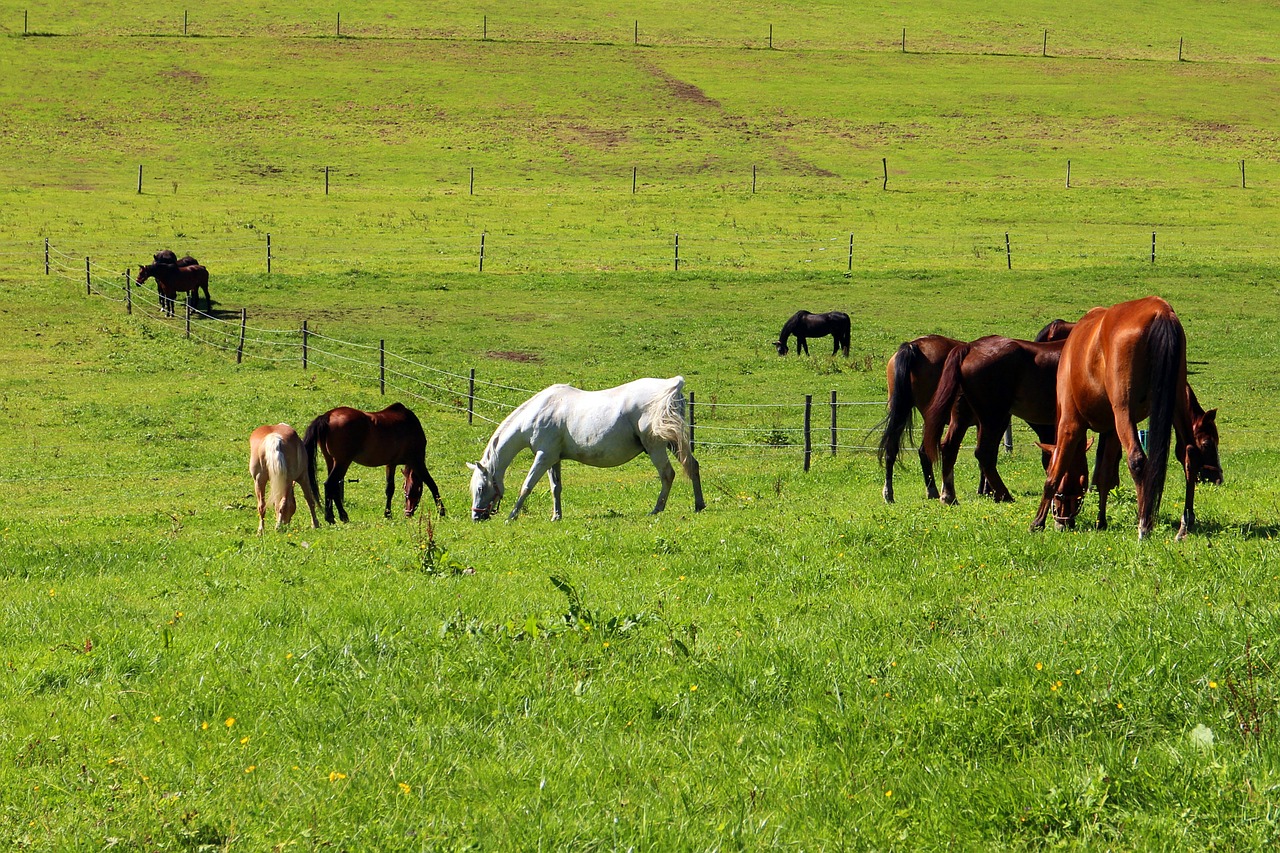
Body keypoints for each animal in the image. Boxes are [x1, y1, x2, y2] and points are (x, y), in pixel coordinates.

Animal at [302, 402, 448, 522]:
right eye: (410, 490)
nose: (408, 513)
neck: (410, 425)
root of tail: (328, 415)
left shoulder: (391, 464)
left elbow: (390, 489)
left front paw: (388, 514)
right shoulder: (417, 462)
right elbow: (432, 485)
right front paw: (441, 512)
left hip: (331, 461)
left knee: (334, 487)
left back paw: (339, 516)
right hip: (342, 462)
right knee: (330, 484)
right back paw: (332, 517)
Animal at [471, 376, 711, 522]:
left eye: (481, 488)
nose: (476, 517)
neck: (540, 410)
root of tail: (672, 386)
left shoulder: (543, 457)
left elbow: (526, 486)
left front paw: (511, 516)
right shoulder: (553, 459)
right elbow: (555, 488)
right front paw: (556, 516)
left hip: (656, 447)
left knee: (667, 474)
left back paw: (657, 509)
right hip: (673, 444)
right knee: (692, 466)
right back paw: (699, 505)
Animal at [921, 333, 1070, 504]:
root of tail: (970, 347)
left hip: (964, 416)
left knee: (950, 448)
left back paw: (949, 496)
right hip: (994, 417)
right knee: (984, 453)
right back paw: (1004, 495)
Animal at [1034, 295, 1203, 537]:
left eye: (1046, 466)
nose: (1063, 521)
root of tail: (1160, 310)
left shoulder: (1070, 425)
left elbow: (1054, 476)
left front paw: (1038, 522)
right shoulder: (1112, 430)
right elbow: (1104, 475)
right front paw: (1101, 521)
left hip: (1124, 411)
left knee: (1138, 460)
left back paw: (1144, 525)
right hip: (1177, 403)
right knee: (1190, 454)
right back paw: (1185, 523)